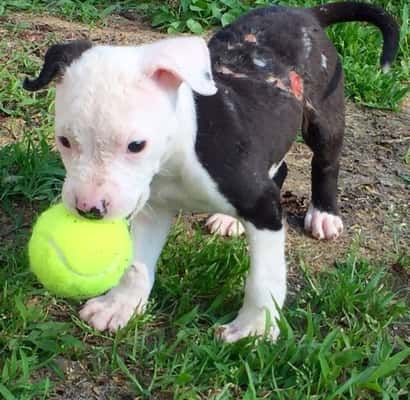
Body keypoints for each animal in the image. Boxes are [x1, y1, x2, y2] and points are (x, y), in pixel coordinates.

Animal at [24, 1, 398, 342]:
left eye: (136, 145)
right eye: (64, 141)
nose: (88, 209)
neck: (177, 154)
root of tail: (304, 13)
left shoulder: (262, 206)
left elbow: (263, 276)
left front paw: (253, 329)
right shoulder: (153, 206)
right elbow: (136, 264)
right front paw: (120, 305)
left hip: (324, 115)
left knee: (325, 162)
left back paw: (324, 213)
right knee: (280, 167)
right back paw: (230, 220)